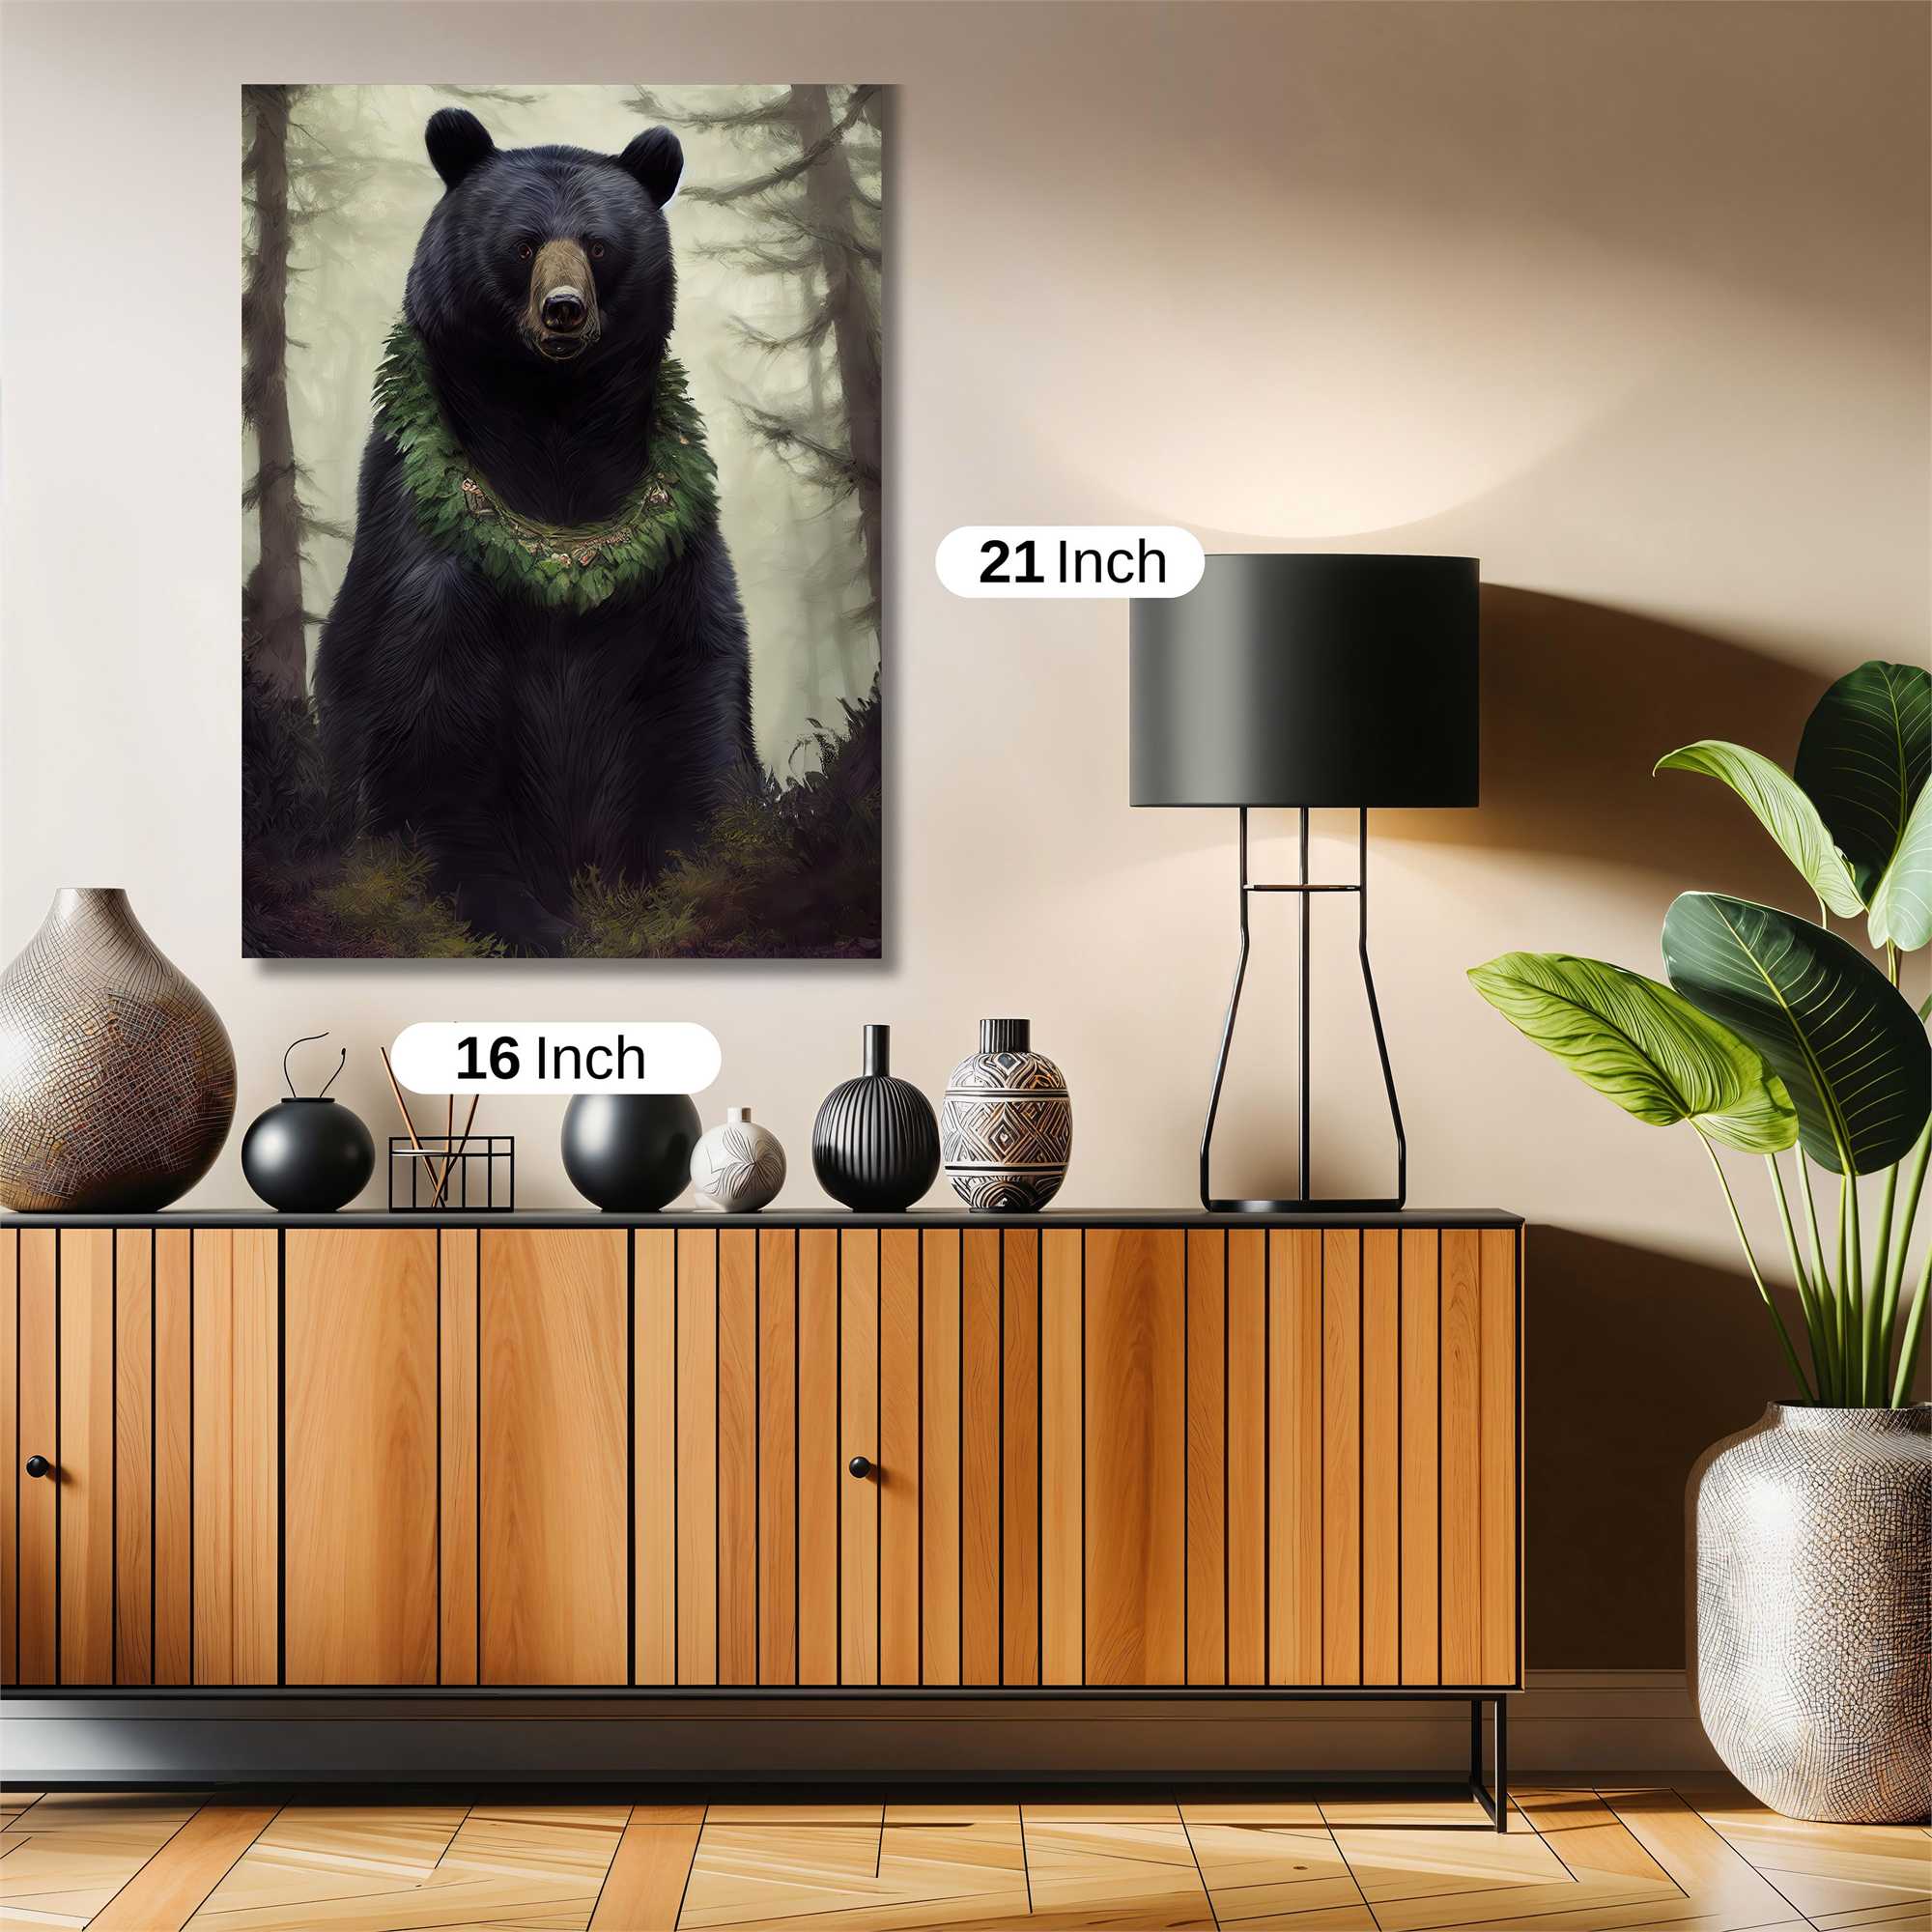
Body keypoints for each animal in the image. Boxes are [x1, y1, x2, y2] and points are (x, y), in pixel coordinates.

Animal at [314, 108, 756, 955]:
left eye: (598, 245)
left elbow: (698, 712)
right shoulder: (429, 560)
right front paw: (521, 918)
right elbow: (425, 737)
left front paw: (690, 889)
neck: (554, 426)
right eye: (521, 244)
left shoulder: (674, 563)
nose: (563, 309)